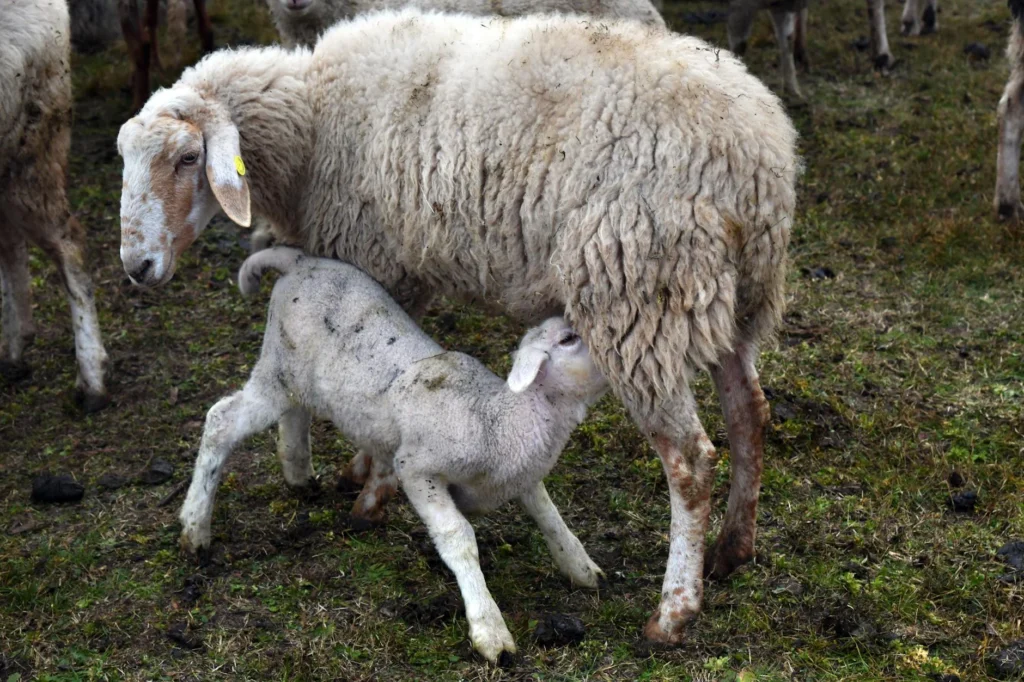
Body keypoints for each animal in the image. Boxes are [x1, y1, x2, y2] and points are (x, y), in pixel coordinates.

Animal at [179, 246, 608, 662]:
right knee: (221, 421)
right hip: (276, 371)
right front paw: (489, 629)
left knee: (294, 415)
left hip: (296, 381)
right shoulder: (417, 469)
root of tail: (299, 261)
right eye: (568, 339)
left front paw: (580, 566)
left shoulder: (522, 475)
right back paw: (195, 526)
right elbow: (458, 537)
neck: (497, 418)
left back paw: (298, 473)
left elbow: (549, 514)